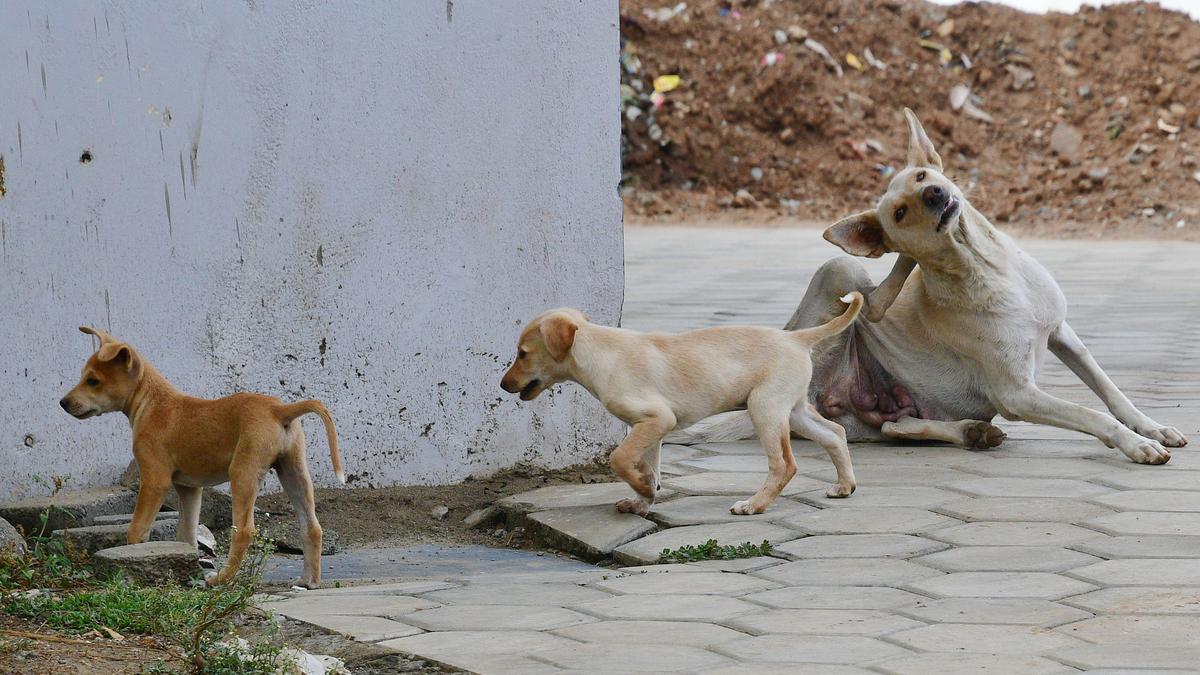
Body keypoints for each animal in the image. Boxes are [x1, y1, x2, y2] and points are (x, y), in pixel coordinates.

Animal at [61, 329, 345, 586]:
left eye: (93, 381)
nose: (63, 403)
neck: (152, 402)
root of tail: (279, 409)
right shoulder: (189, 488)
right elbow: (185, 535)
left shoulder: (154, 480)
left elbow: (137, 528)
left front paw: (131, 557)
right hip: (294, 472)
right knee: (312, 527)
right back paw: (309, 581)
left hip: (243, 473)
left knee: (244, 531)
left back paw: (222, 579)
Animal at [504, 290, 864, 514]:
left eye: (522, 354)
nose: (502, 385)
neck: (602, 352)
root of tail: (795, 337)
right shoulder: (650, 428)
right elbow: (648, 466)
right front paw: (642, 499)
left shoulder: (658, 419)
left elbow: (619, 459)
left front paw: (643, 490)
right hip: (792, 410)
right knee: (835, 433)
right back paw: (844, 485)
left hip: (765, 409)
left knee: (785, 465)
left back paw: (754, 505)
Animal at [672, 107, 1185, 466]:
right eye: (899, 213)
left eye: (922, 175)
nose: (935, 194)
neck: (989, 270)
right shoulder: (1017, 394)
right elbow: (1091, 413)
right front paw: (1134, 445)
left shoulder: (1062, 332)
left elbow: (1110, 391)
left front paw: (1152, 428)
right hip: (840, 270)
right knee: (867, 312)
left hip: (881, 409)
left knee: (894, 428)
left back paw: (968, 432)